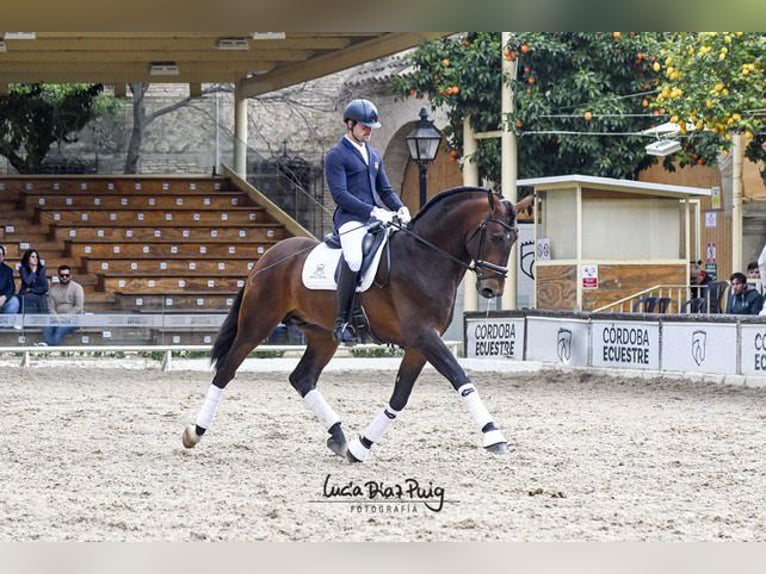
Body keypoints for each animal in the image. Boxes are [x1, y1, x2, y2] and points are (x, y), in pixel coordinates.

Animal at [182, 187, 520, 466]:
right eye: (494, 236)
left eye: (513, 239)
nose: (491, 289)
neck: (424, 256)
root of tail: (267, 257)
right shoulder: (424, 336)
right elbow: (460, 377)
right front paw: (493, 435)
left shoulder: (419, 344)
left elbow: (400, 397)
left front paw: (361, 447)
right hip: (257, 323)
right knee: (226, 371)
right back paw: (195, 432)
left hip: (322, 335)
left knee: (302, 378)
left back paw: (339, 437)